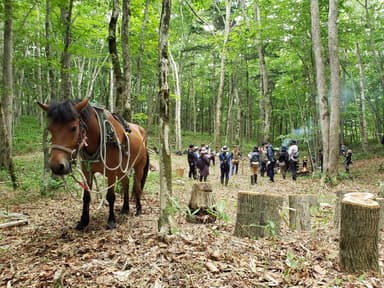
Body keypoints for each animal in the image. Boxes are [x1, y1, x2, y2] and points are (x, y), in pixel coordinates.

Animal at [37, 98, 148, 230]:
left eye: (73, 128)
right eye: (50, 129)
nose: (56, 166)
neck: (100, 137)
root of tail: (141, 131)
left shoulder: (111, 171)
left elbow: (110, 196)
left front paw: (111, 220)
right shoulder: (87, 171)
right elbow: (86, 197)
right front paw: (83, 221)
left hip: (139, 166)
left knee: (137, 187)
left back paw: (139, 209)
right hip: (122, 169)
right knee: (126, 183)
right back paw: (125, 208)